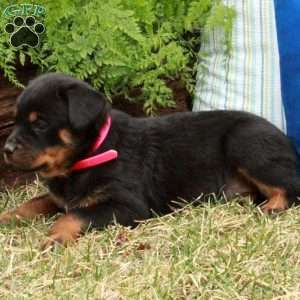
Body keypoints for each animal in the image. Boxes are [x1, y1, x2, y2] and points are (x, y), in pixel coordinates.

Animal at [1, 73, 300, 248]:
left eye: (40, 124)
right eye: (16, 120)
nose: (6, 149)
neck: (89, 155)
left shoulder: (127, 206)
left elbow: (74, 215)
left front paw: (54, 237)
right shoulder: (59, 197)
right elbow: (32, 203)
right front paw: (6, 216)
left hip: (244, 141)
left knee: (290, 187)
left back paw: (269, 209)